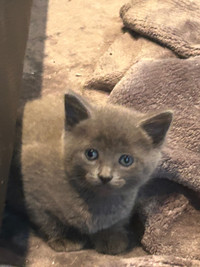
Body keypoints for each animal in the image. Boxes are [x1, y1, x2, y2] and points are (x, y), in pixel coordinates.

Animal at [7, 92, 172, 255]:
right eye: (91, 153)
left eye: (126, 160)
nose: (105, 176)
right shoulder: (34, 190)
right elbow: (48, 219)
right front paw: (65, 238)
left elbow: (116, 222)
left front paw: (111, 238)